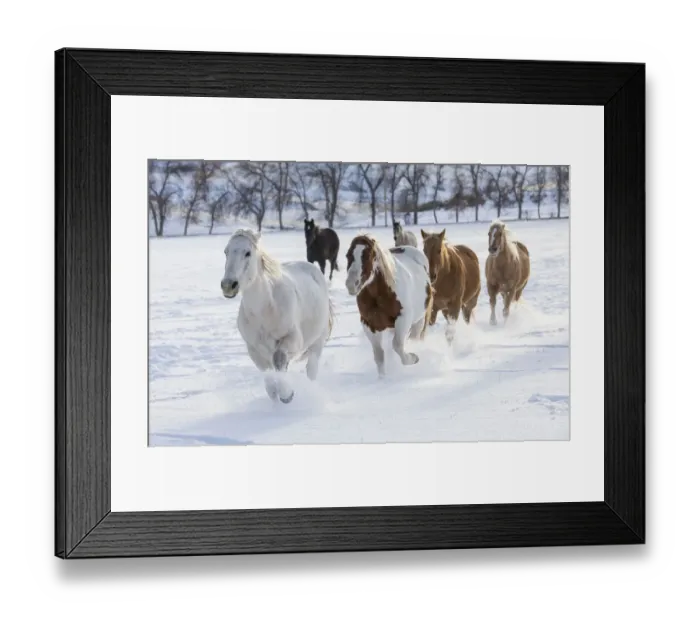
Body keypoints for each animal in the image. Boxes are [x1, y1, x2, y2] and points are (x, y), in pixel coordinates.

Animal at [220, 229, 334, 404]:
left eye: (248, 253)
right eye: (226, 252)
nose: (228, 285)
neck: (265, 310)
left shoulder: (293, 339)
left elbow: (279, 358)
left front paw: (287, 394)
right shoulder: (254, 350)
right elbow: (269, 379)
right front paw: (277, 396)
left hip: (317, 343)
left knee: (311, 370)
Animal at [344, 234, 433, 378]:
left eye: (367, 256)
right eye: (348, 255)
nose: (351, 284)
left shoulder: (403, 319)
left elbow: (397, 346)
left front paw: (413, 358)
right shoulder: (369, 324)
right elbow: (379, 355)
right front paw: (383, 378)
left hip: (419, 320)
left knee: (413, 339)